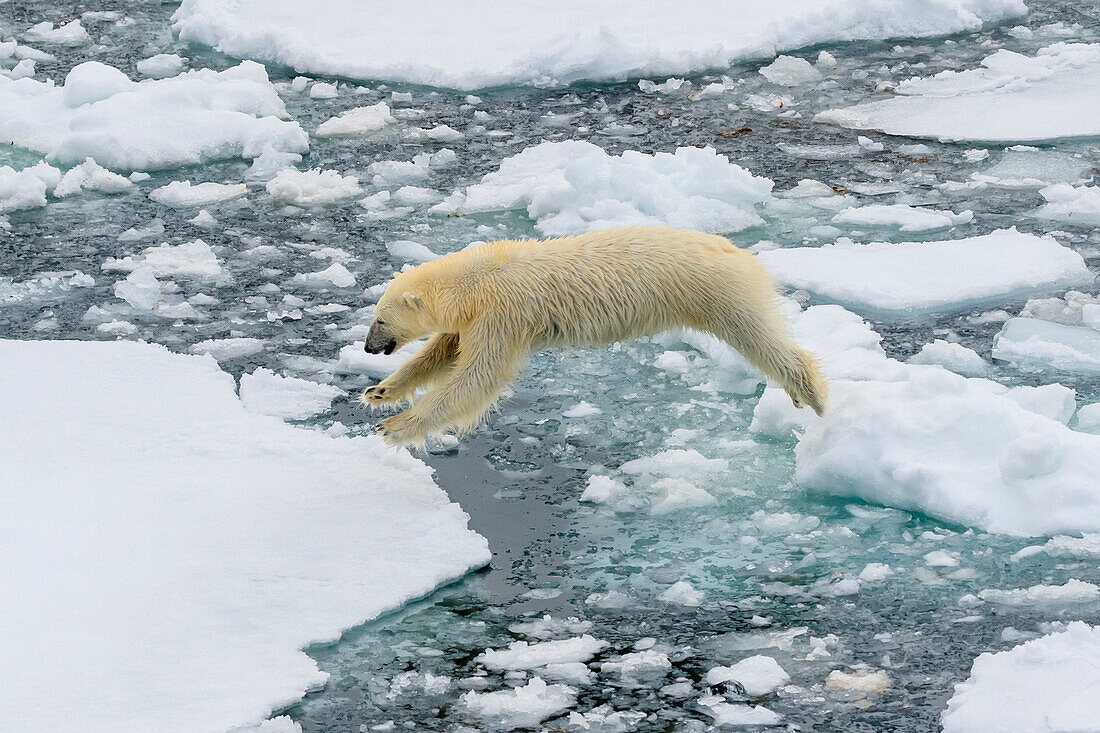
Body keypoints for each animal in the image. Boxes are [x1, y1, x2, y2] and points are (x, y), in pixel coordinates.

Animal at [360, 225, 827, 449]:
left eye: (379, 320)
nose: (368, 347)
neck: (476, 279)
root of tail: (734, 249)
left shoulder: (503, 314)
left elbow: (477, 376)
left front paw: (394, 427)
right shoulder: (478, 318)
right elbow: (443, 351)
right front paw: (379, 391)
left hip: (714, 289)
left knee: (755, 334)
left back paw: (812, 394)